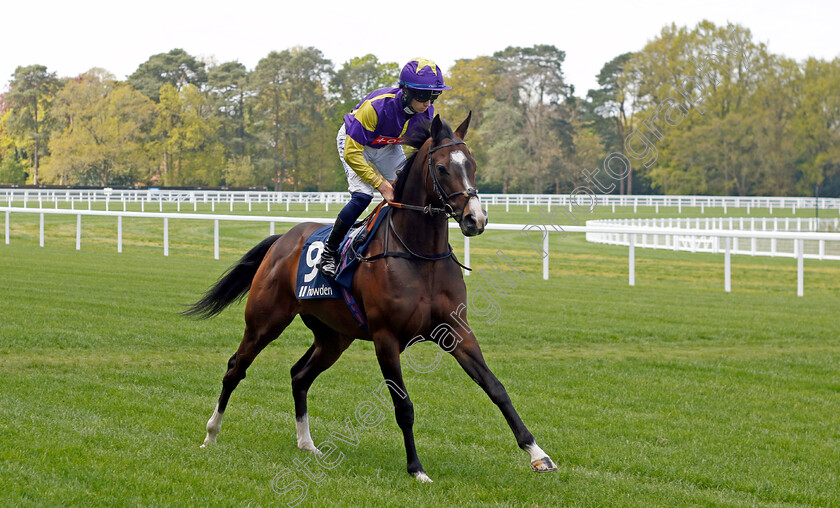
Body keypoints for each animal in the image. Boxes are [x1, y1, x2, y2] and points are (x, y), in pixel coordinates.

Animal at [185, 113, 556, 482]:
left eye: (473, 164)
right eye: (441, 168)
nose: (475, 219)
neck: (420, 256)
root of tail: (283, 239)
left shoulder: (456, 331)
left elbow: (496, 388)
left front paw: (538, 454)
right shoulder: (385, 337)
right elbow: (403, 406)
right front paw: (416, 468)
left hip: (333, 336)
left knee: (299, 375)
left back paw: (307, 443)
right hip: (265, 321)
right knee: (236, 367)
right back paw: (211, 434)